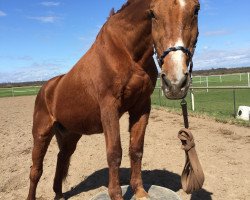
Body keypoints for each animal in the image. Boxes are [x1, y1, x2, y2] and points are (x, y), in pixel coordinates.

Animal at [26, 0, 199, 200]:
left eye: (196, 9)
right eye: (153, 13)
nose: (175, 83)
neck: (126, 52)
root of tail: (46, 89)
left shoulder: (141, 107)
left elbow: (136, 150)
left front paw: (140, 192)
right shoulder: (109, 108)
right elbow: (115, 153)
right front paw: (116, 195)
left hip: (70, 135)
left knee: (61, 159)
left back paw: (59, 194)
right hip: (41, 133)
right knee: (36, 170)